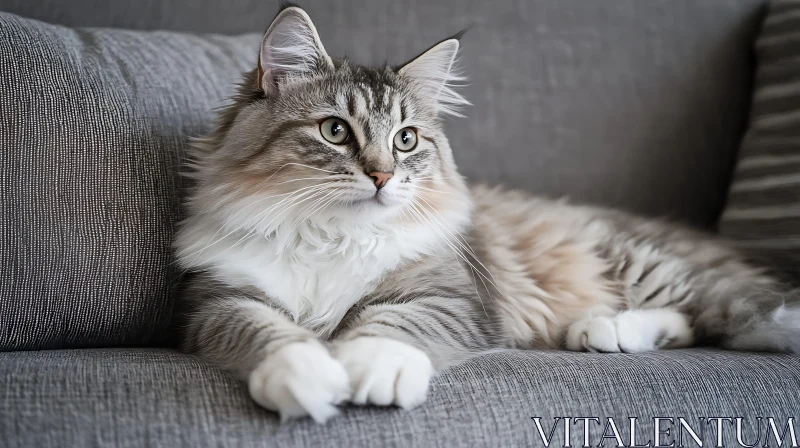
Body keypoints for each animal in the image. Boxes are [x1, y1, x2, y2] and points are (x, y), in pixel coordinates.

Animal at [177, 4, 800, 424]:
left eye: (406, 140)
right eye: (335, 131)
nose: (381, 177)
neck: (332, 234)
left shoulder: (451, 296)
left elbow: (393, 325)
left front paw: (374, 368)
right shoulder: (220, 301)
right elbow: (269, 334)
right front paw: (305, 374)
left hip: (642, 262)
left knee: (710, 310)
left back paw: (612, 326)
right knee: (692, 322)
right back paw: (603, 331)